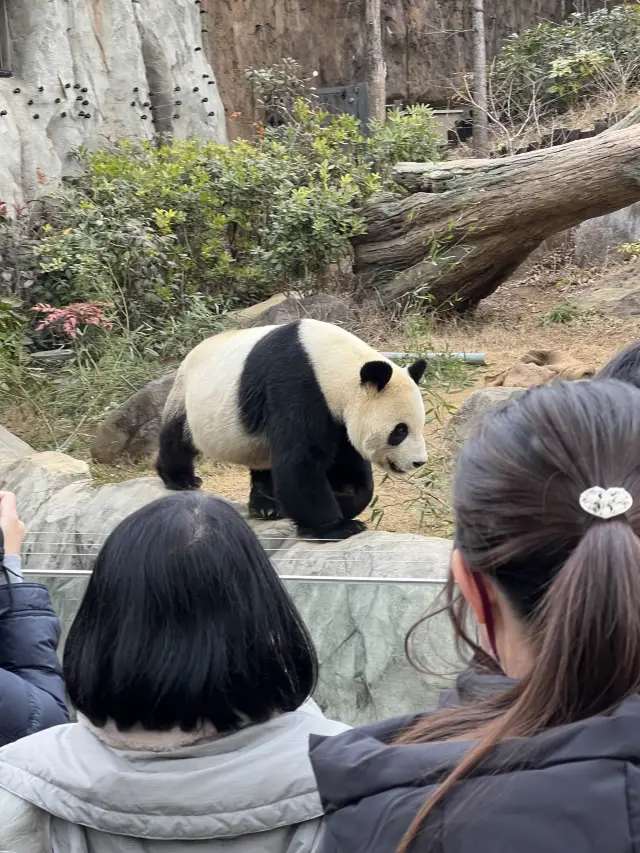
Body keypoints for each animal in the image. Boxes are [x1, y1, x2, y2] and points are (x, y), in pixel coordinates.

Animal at [154, 320, 424, 540]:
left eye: (420, 425)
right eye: (400, 431)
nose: (418, 462)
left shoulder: (337, 418)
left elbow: (350, 468)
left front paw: (343, 499)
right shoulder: (296, 386)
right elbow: (300, 462)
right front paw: (337, 526)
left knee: (263, 461)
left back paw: (266, 505)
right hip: (188, 398)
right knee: (177, 437)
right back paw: (181, 479)